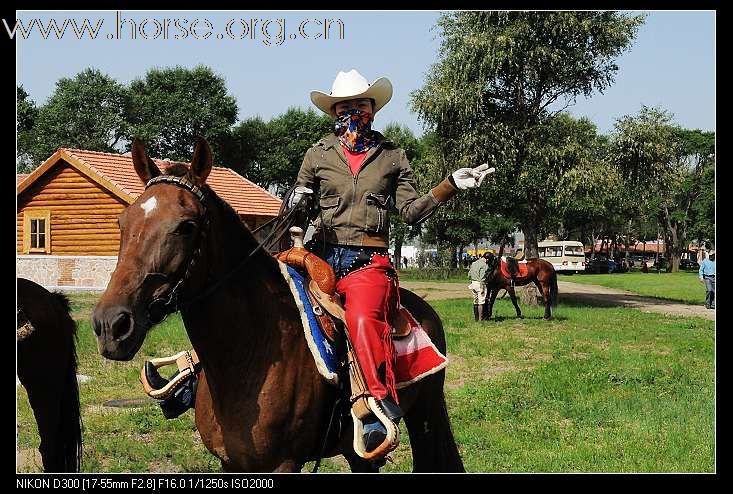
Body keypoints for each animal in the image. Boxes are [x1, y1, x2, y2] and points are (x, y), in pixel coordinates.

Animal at [88, 137, 460, 472]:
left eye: (187, 226)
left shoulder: (283, 464)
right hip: (358, 450)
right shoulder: (230, 463)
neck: (248, 353)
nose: (111, 324)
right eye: (122, 222)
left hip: (426, 413)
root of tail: (421, 308)